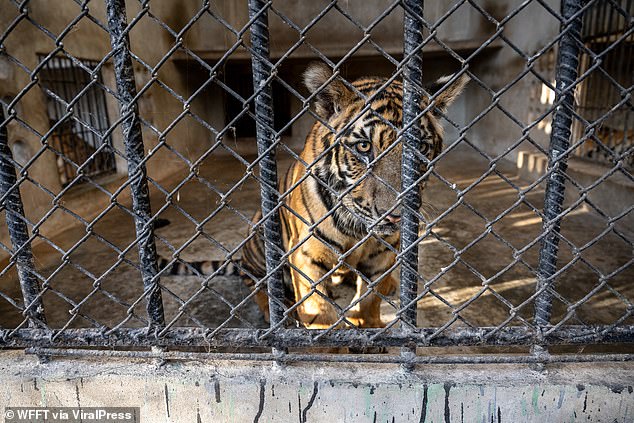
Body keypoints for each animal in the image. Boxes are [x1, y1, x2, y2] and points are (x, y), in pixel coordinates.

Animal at [160, 61, 466, 330]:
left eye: (421, 149)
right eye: (364, 147)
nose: (395, 216)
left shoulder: (382, 253)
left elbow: (369, 298)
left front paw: (368, 327)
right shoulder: (306, 253)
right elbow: (319, 309)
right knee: (256, 283)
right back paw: (278, 309)